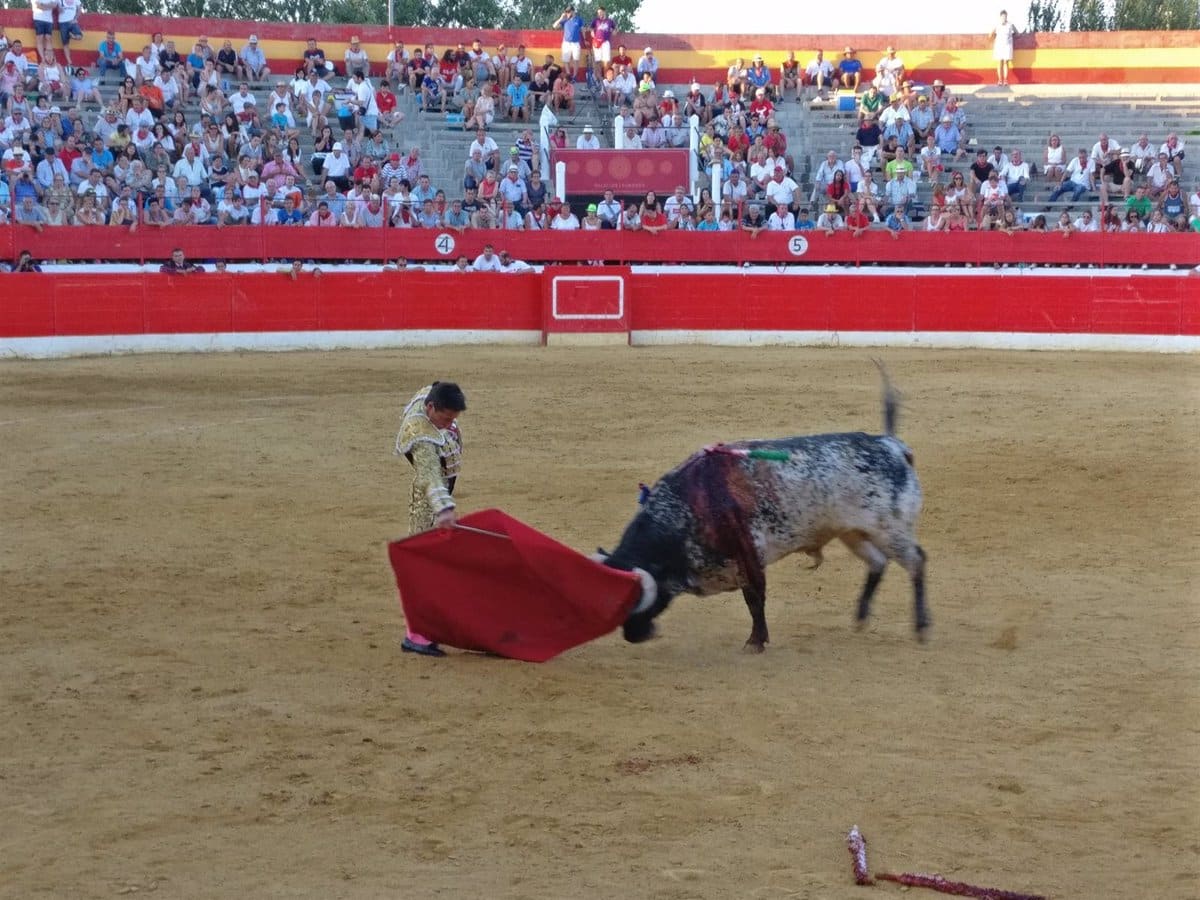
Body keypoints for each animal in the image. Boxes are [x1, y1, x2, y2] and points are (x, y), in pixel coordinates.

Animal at [595, 367, 921, 657]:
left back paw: (921, 626)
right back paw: (862, 617)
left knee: (916, 560)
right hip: (853, 532)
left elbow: (755, 599)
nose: (633, 636)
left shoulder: (748, 556)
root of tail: (891, 444)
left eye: (634, 600)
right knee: (879, 562)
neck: (686, 508)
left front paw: (755, 642)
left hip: (889, 528)